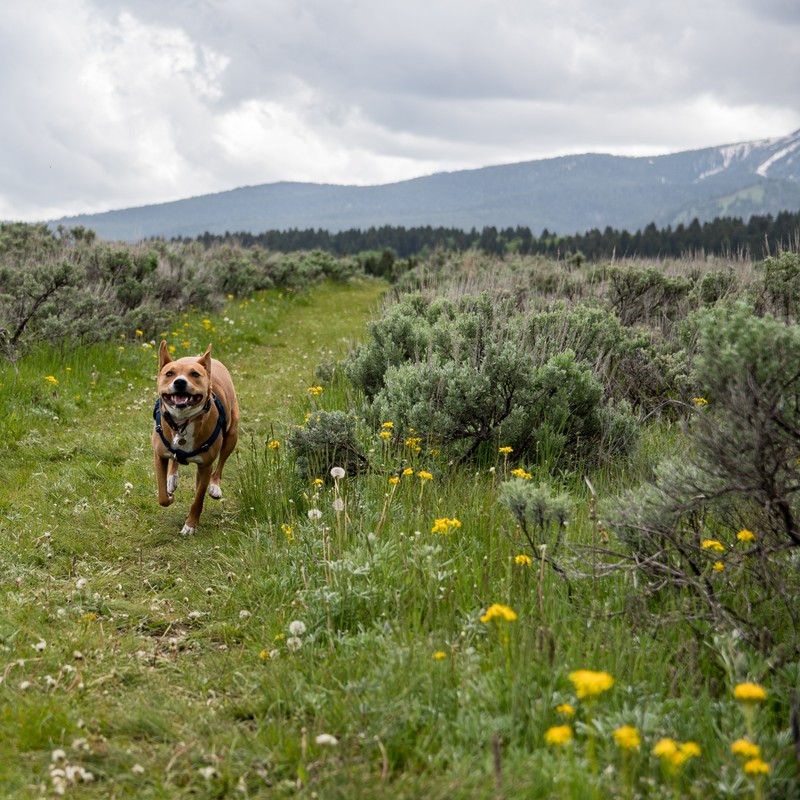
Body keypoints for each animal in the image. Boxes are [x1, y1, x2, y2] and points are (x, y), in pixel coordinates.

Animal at [153, 340, 239, 536]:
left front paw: (190, 525)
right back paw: (171, 479)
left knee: (221, 463)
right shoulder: (159, 455)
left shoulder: (205, 466)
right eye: (169, 373)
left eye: (195, 374)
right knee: (174, 461)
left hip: (232, 435)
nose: (179, 382)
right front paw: (168, 495)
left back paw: (215, 486)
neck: (182, 424)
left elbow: (198, 498)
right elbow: (162, 496)